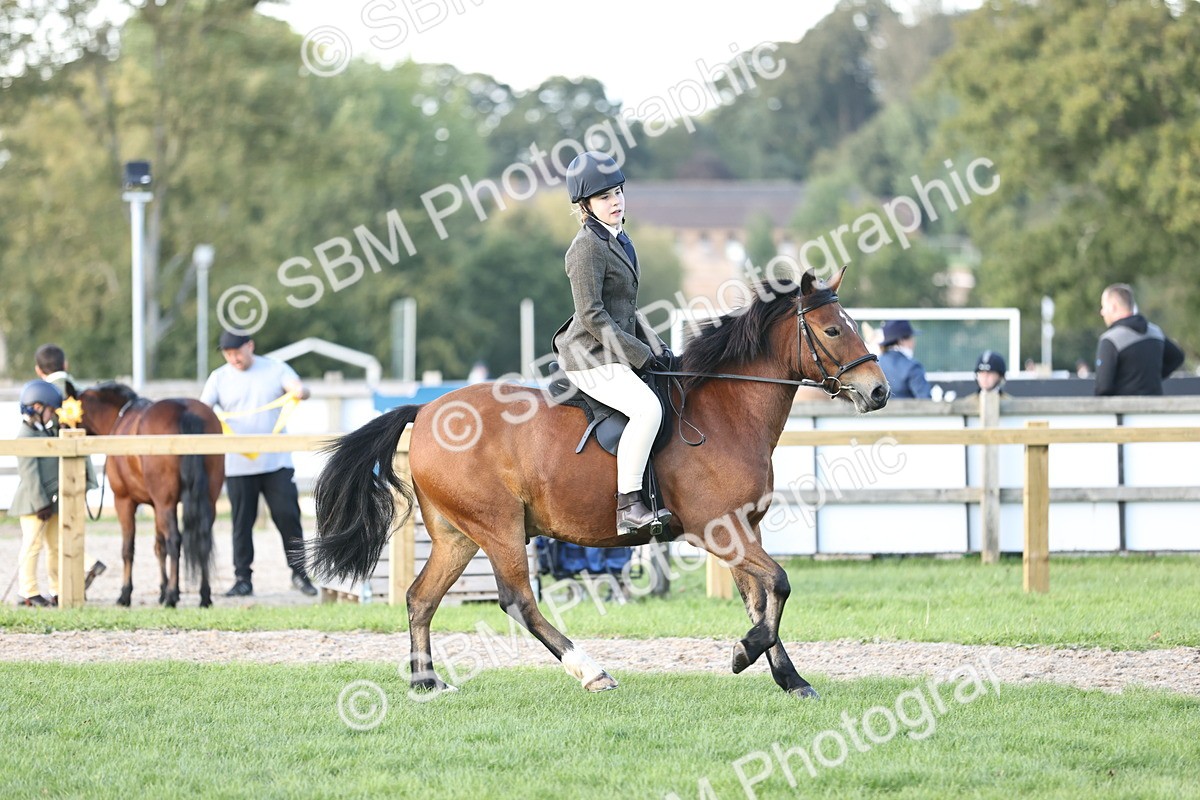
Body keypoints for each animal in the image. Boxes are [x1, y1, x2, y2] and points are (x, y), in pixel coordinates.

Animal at [78, 382, 225, 608]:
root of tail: (185, 411)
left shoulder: (125, 501)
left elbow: (128, 549)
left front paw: (126, 594)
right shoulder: (156, 505)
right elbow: (159, 547)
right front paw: (163, 590)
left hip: (166, 503)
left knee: (175, 540)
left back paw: (172, 596)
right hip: (206, 501)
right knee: (203, 540)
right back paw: (204, 596)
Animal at [309, 267, 888, 697]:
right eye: (833, 330)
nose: (879, 390)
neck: (728, 409)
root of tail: (426, 410)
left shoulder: (744, 529)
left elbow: (762, 596)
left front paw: (788, 677)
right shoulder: (720, 531)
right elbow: (779, 585)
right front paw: (745, 653)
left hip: (456, 535)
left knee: (420, 599)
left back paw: (426, 682)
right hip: (498, 528)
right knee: (518, 601)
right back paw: (592, 672)